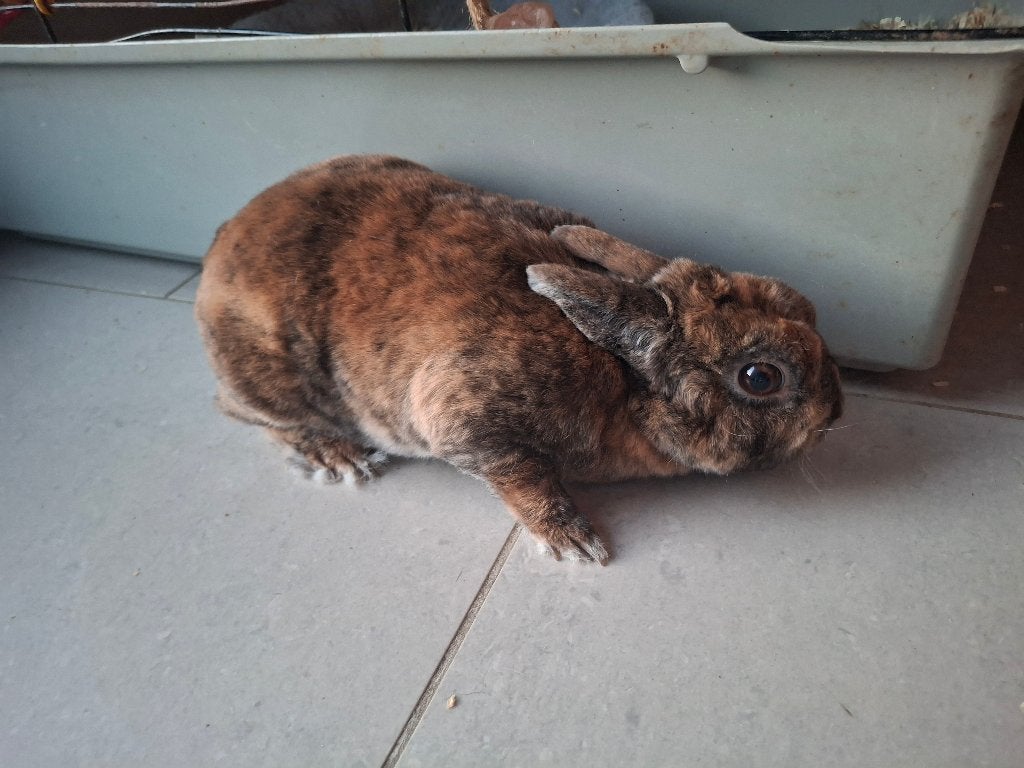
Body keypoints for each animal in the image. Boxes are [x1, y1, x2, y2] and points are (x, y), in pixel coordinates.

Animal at [195, 155, 843, 565]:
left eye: (804, 306)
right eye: (760, 377)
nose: (836, 414)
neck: (619, 379)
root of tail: (220, 243)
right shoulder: (465, 416)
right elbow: (517, 473)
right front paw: (573, 542)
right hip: (271, 378)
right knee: (242, 413)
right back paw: (340, 457)